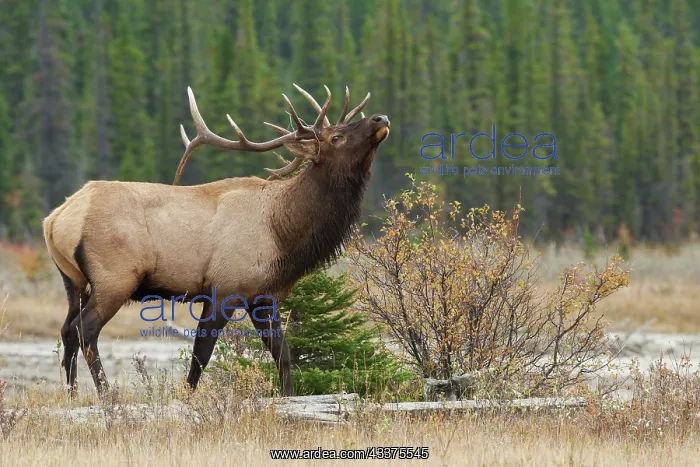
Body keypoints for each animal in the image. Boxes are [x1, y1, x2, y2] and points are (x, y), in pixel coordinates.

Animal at [42, 84, 390, 397]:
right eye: (336, 137)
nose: (381, 117)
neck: (282, 233)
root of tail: (55, 219)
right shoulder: (223, 289)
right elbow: (201, 356)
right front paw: (187, 398)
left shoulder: (263, 297)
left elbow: (283, 354)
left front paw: (288, 397)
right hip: (115, 277)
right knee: (85, 329)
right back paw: (106, 395)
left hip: (74, 282)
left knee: (67, 330)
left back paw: (72, 394)